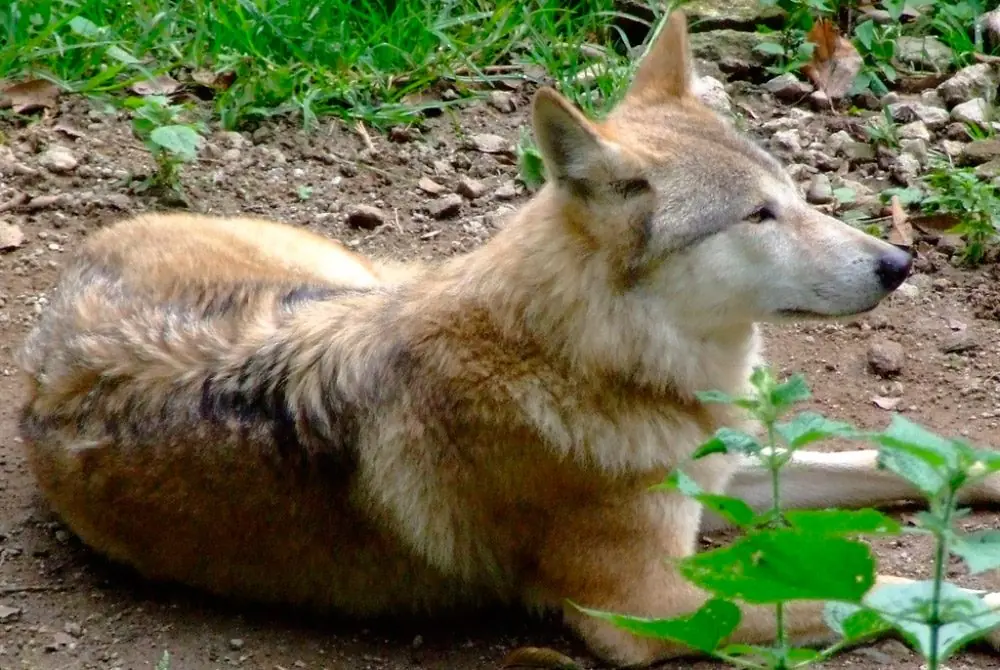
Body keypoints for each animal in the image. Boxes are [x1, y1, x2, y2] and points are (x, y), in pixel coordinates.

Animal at [17, 10, 1000, 666]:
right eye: (759, 217)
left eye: (797, 196)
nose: (900, 261)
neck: (597, 364)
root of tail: (69, 279)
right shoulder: (649, 605)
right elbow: (872, 593)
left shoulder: (726, 475)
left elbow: (890, 460)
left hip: (350, 273)